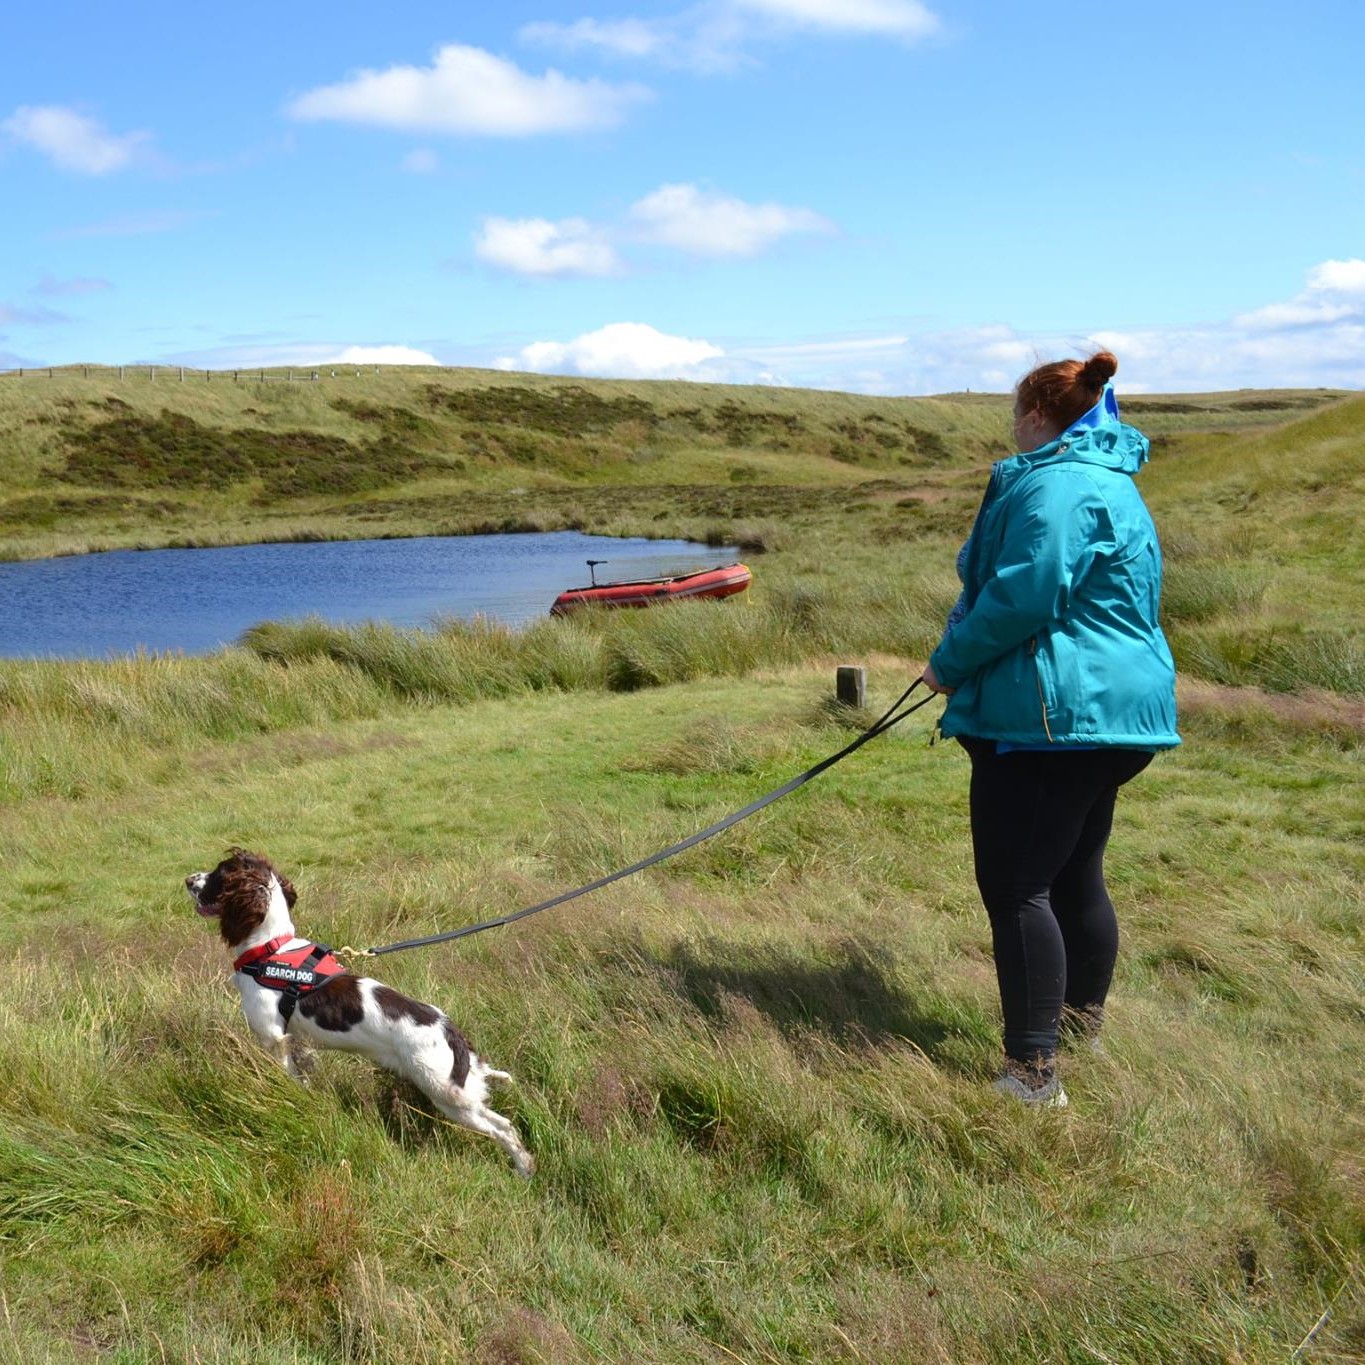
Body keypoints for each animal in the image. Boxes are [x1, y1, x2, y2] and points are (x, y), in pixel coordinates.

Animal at [185, 846, 532, 1179]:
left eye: (220, 873)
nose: (188, 880)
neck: (271, 949)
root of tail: (452, 1032)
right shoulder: (295, 1041)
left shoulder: (273, 1039)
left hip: (447, 1094)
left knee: (503, 1128)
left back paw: (524, 1169)